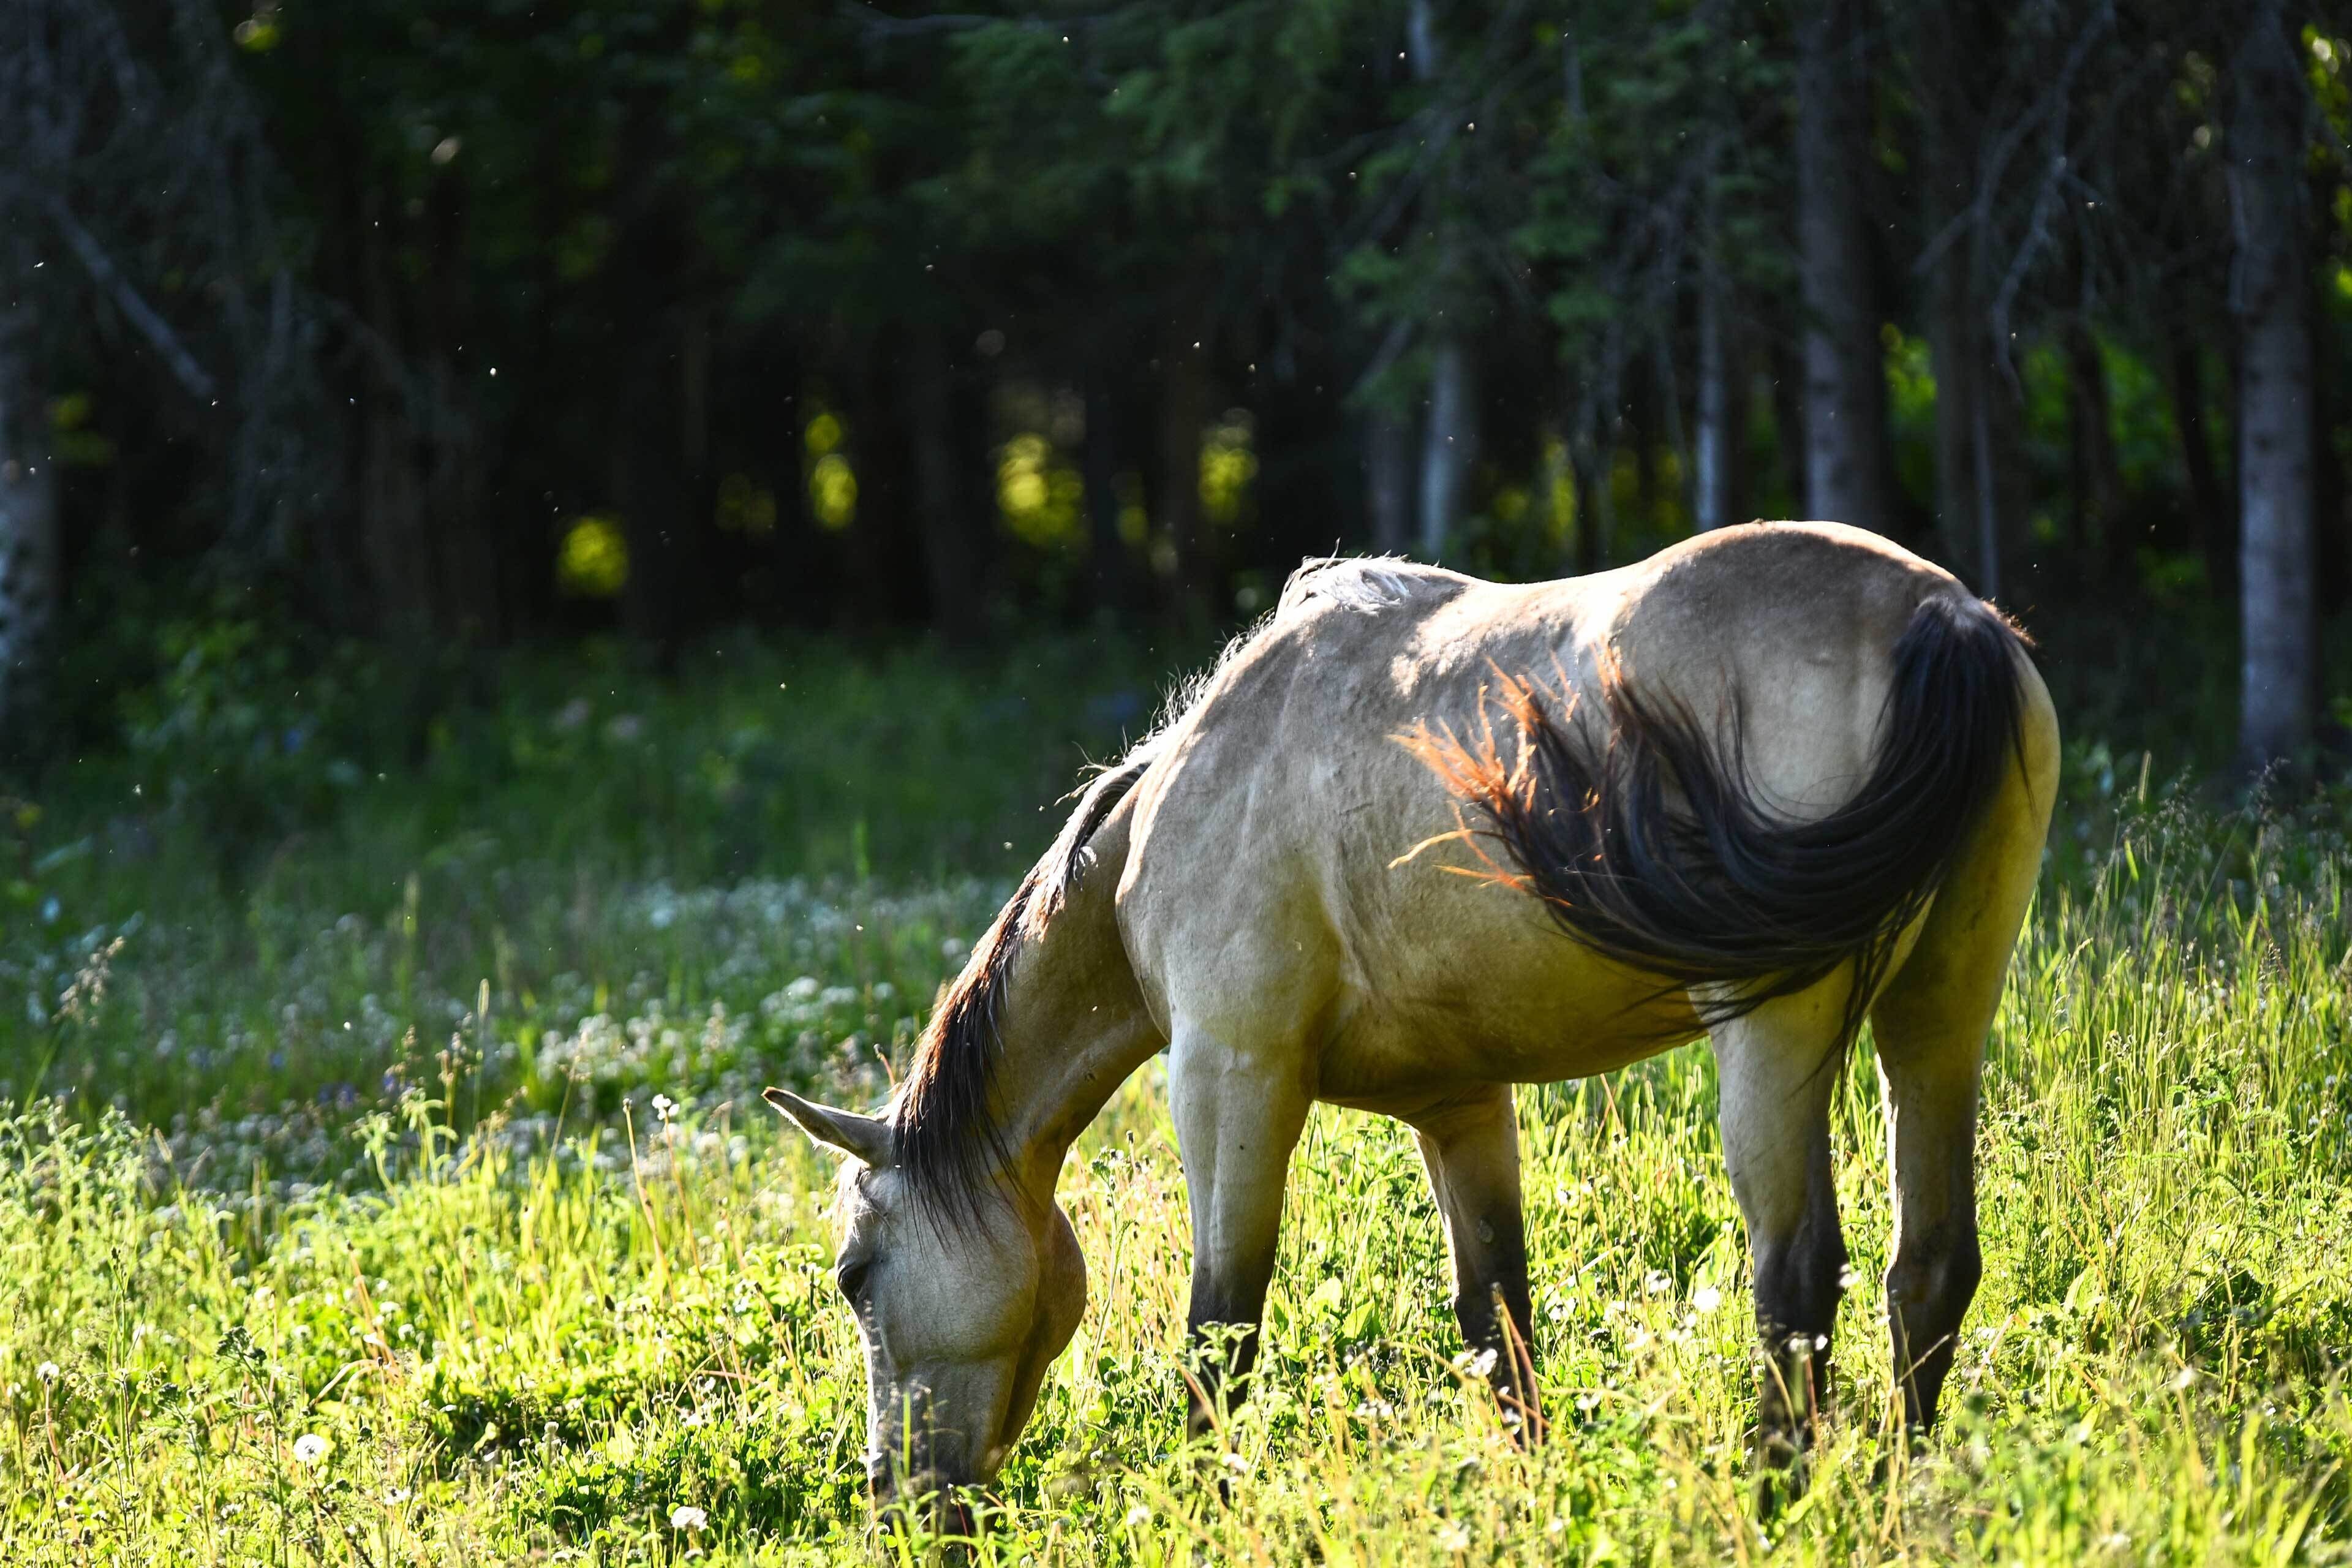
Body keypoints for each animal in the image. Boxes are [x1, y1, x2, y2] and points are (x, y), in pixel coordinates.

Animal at [766, 520, 2059, 1514]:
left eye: (855, 1275)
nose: (896, 1497)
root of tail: (1944, 618)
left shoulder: (1230, 1080)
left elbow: (1222, 1338)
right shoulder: (1460, 1106)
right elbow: (1500, 1325)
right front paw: (1538, 1509)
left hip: (1776, 1040)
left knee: (1796, 1284)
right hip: (1941, 1014)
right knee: (1927, 1267)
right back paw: (1897, 1500)